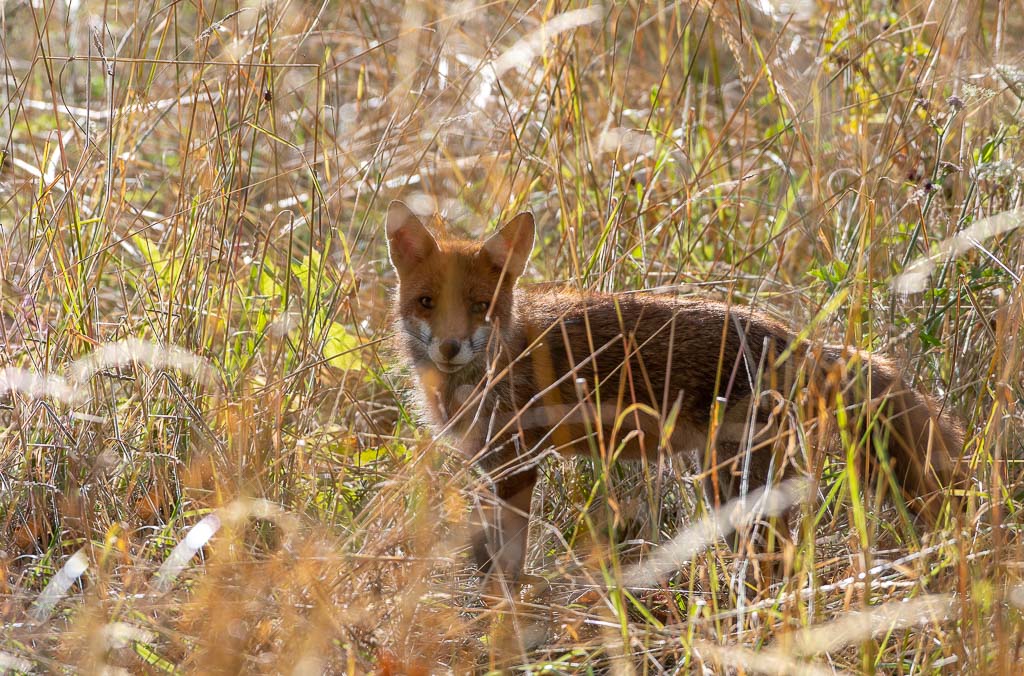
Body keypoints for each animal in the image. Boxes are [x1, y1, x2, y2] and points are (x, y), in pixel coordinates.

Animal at [384, 199, 967, 584]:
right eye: (427, 302)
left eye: (480, 306)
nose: (452, 348)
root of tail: (798, 342)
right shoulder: (490, 464)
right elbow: (487, 553)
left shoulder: (518, 464)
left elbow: (507, 565)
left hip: (733, 484)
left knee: (780, 564)